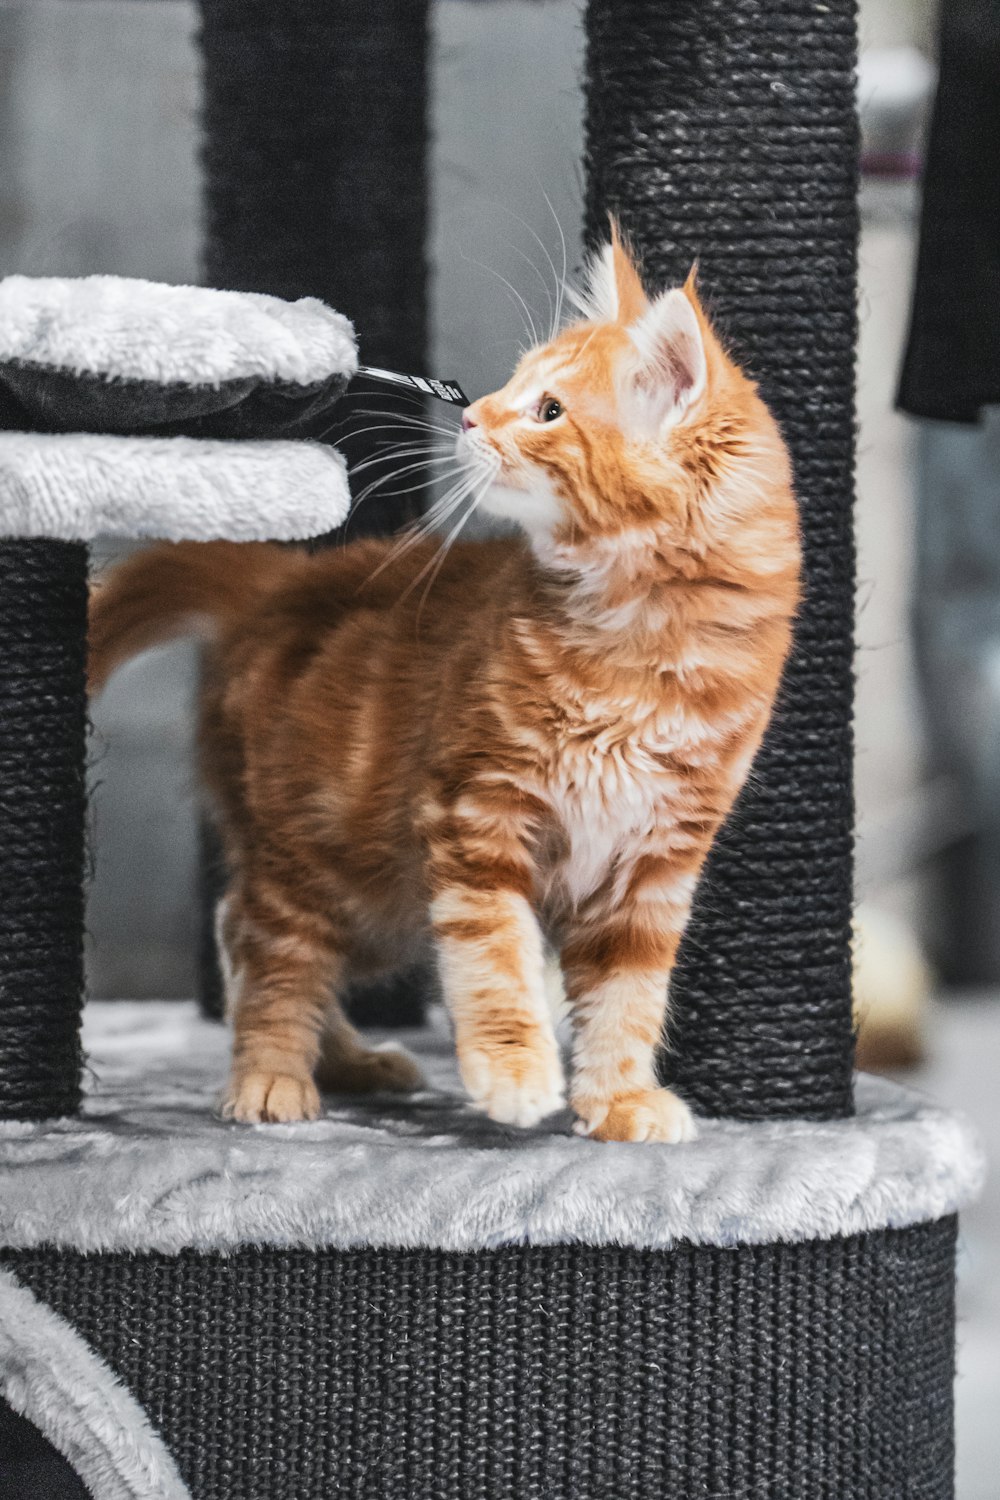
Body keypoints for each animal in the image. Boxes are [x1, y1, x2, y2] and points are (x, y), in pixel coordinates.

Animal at [89, 234, 803, 1140]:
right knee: (272, 949)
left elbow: (628, 996)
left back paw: (345, 1061)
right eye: (512, 387)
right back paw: (273, 1078)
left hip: (381, 905)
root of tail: (283, 583)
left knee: (242, 930)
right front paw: (514, 1071)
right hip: (328, 857)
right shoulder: (474, 811)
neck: (639, 644)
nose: (468, 417)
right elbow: (495, 958)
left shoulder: (657, 862)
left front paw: (617, 1100)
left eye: (549, 411)